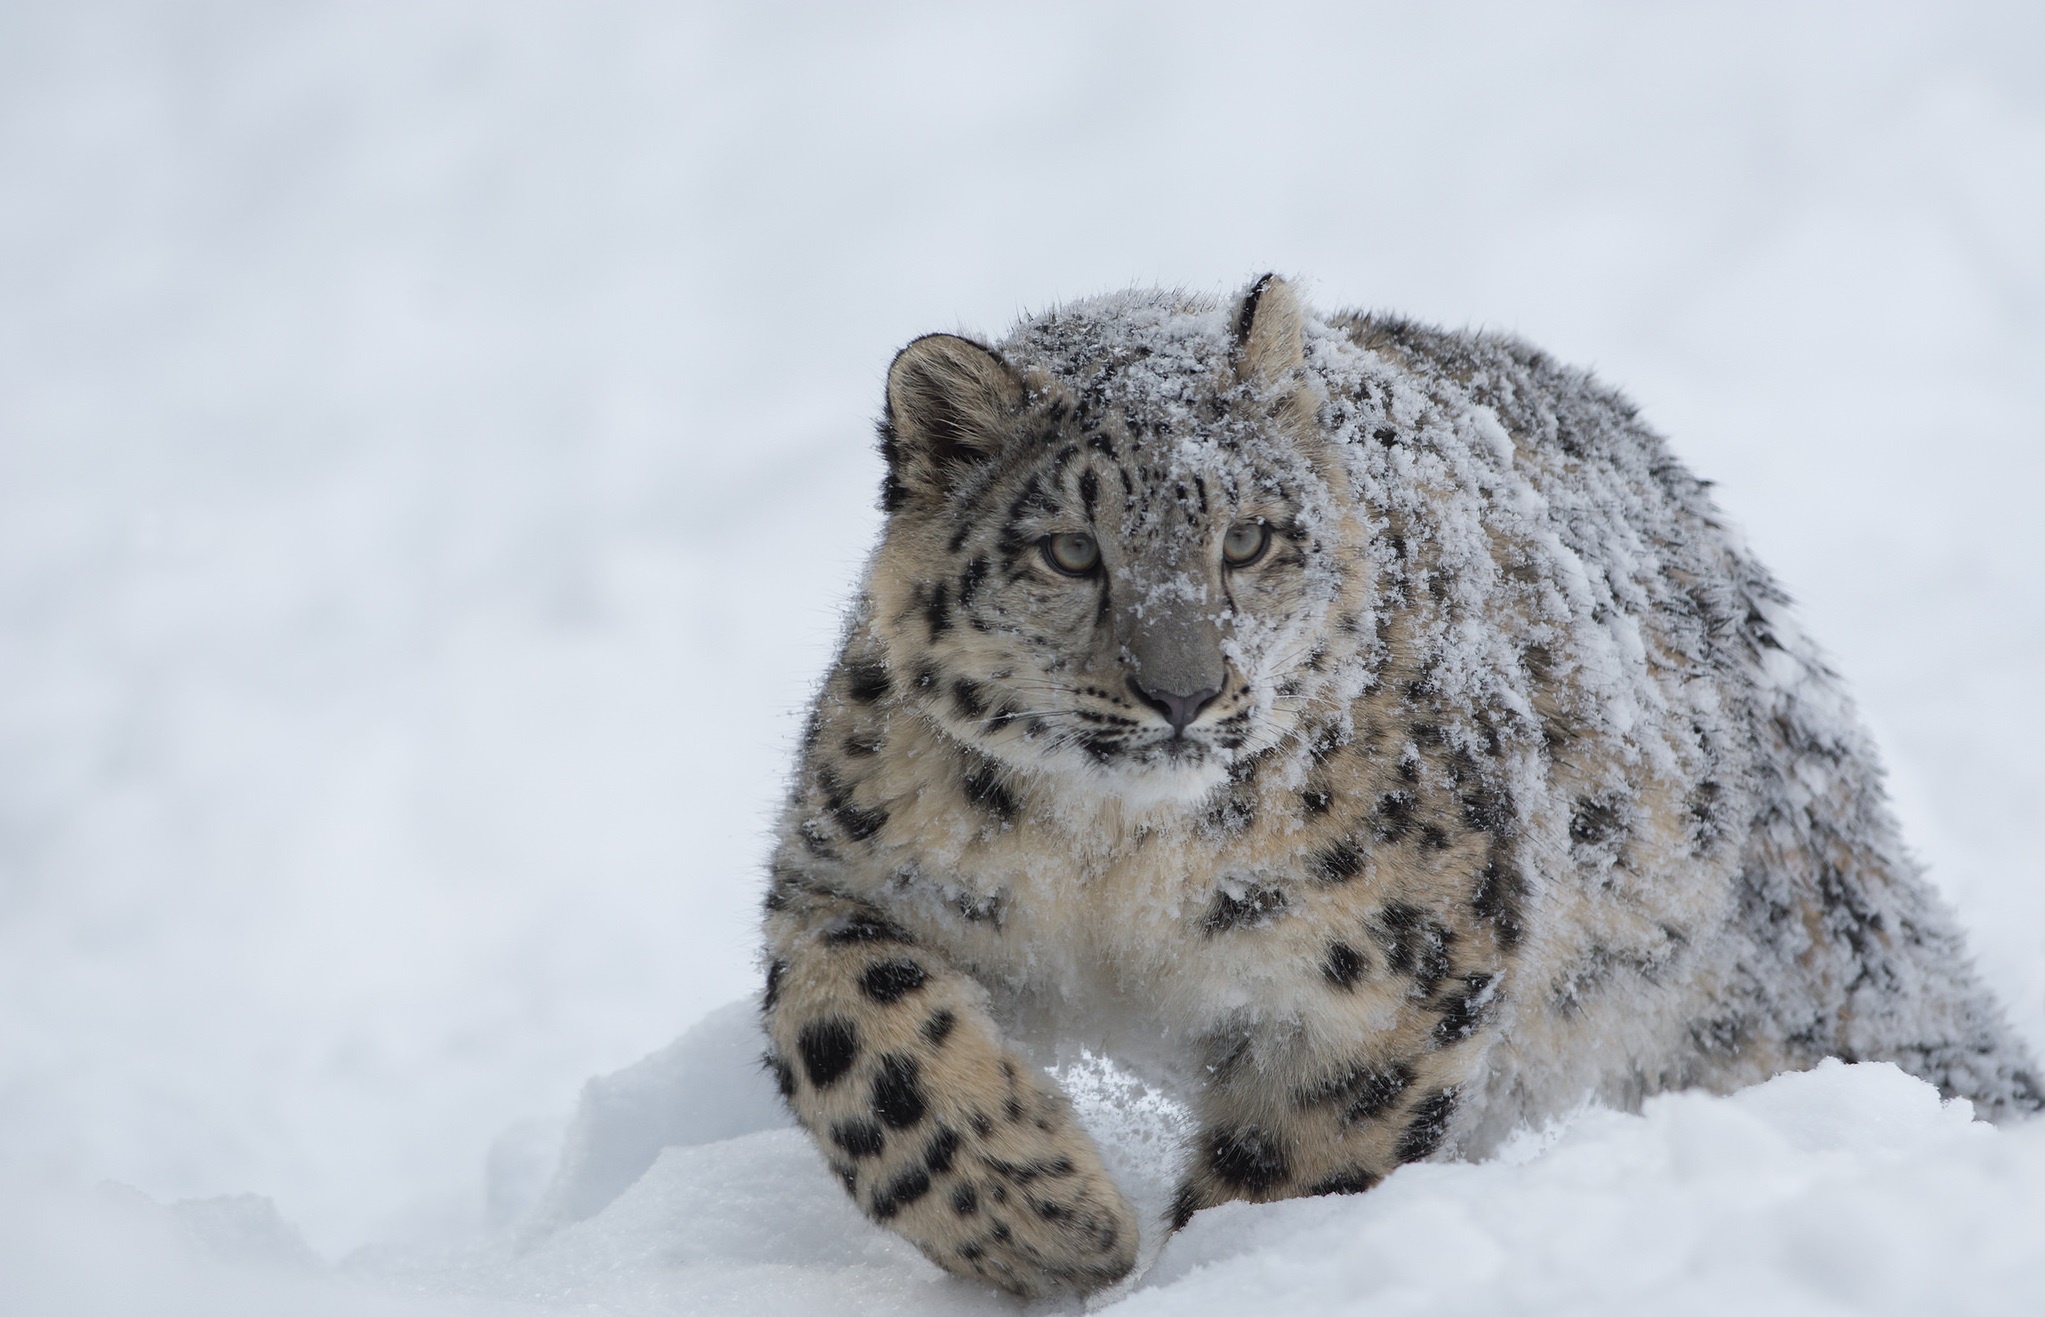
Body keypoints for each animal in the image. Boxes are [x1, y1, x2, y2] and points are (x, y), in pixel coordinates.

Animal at [756, 276, 2045, 1292]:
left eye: (1247, 539)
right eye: (1069, 551)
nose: (1181, 691)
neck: (1113, 875)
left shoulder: (1394, 967)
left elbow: (1299, 1156)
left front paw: (1219, 1271)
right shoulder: (848, 871)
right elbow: (859, 1044)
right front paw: (1047, 1226)